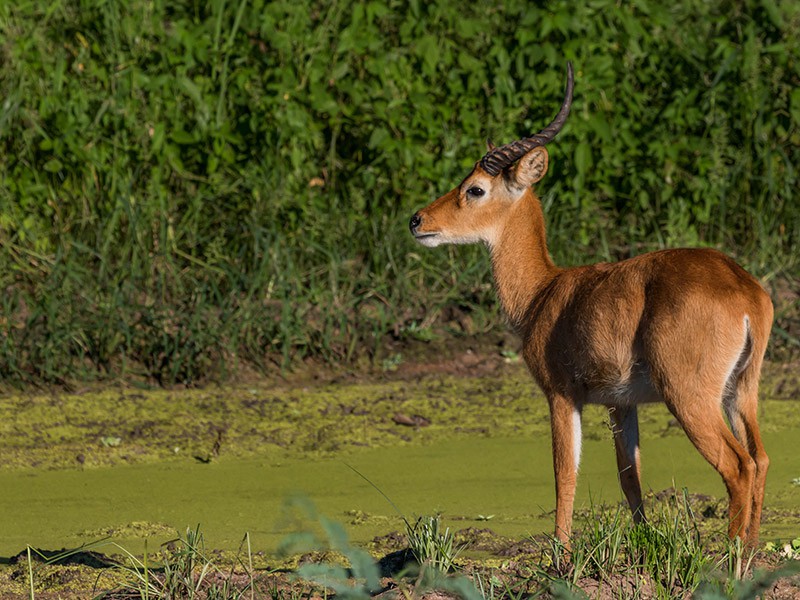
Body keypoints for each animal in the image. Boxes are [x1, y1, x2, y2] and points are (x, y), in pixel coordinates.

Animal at [410, 63, 772, 548]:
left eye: (475, 189)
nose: (417, 220)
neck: (542, 292)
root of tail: (745, 292)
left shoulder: (561, 394)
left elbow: (565, 475)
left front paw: (559, 554)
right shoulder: (621, 403)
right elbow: (629, 476)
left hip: (689, 396)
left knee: (739, 466)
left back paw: (727, 559)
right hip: (741, 391)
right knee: (761, 458)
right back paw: (748, 554)